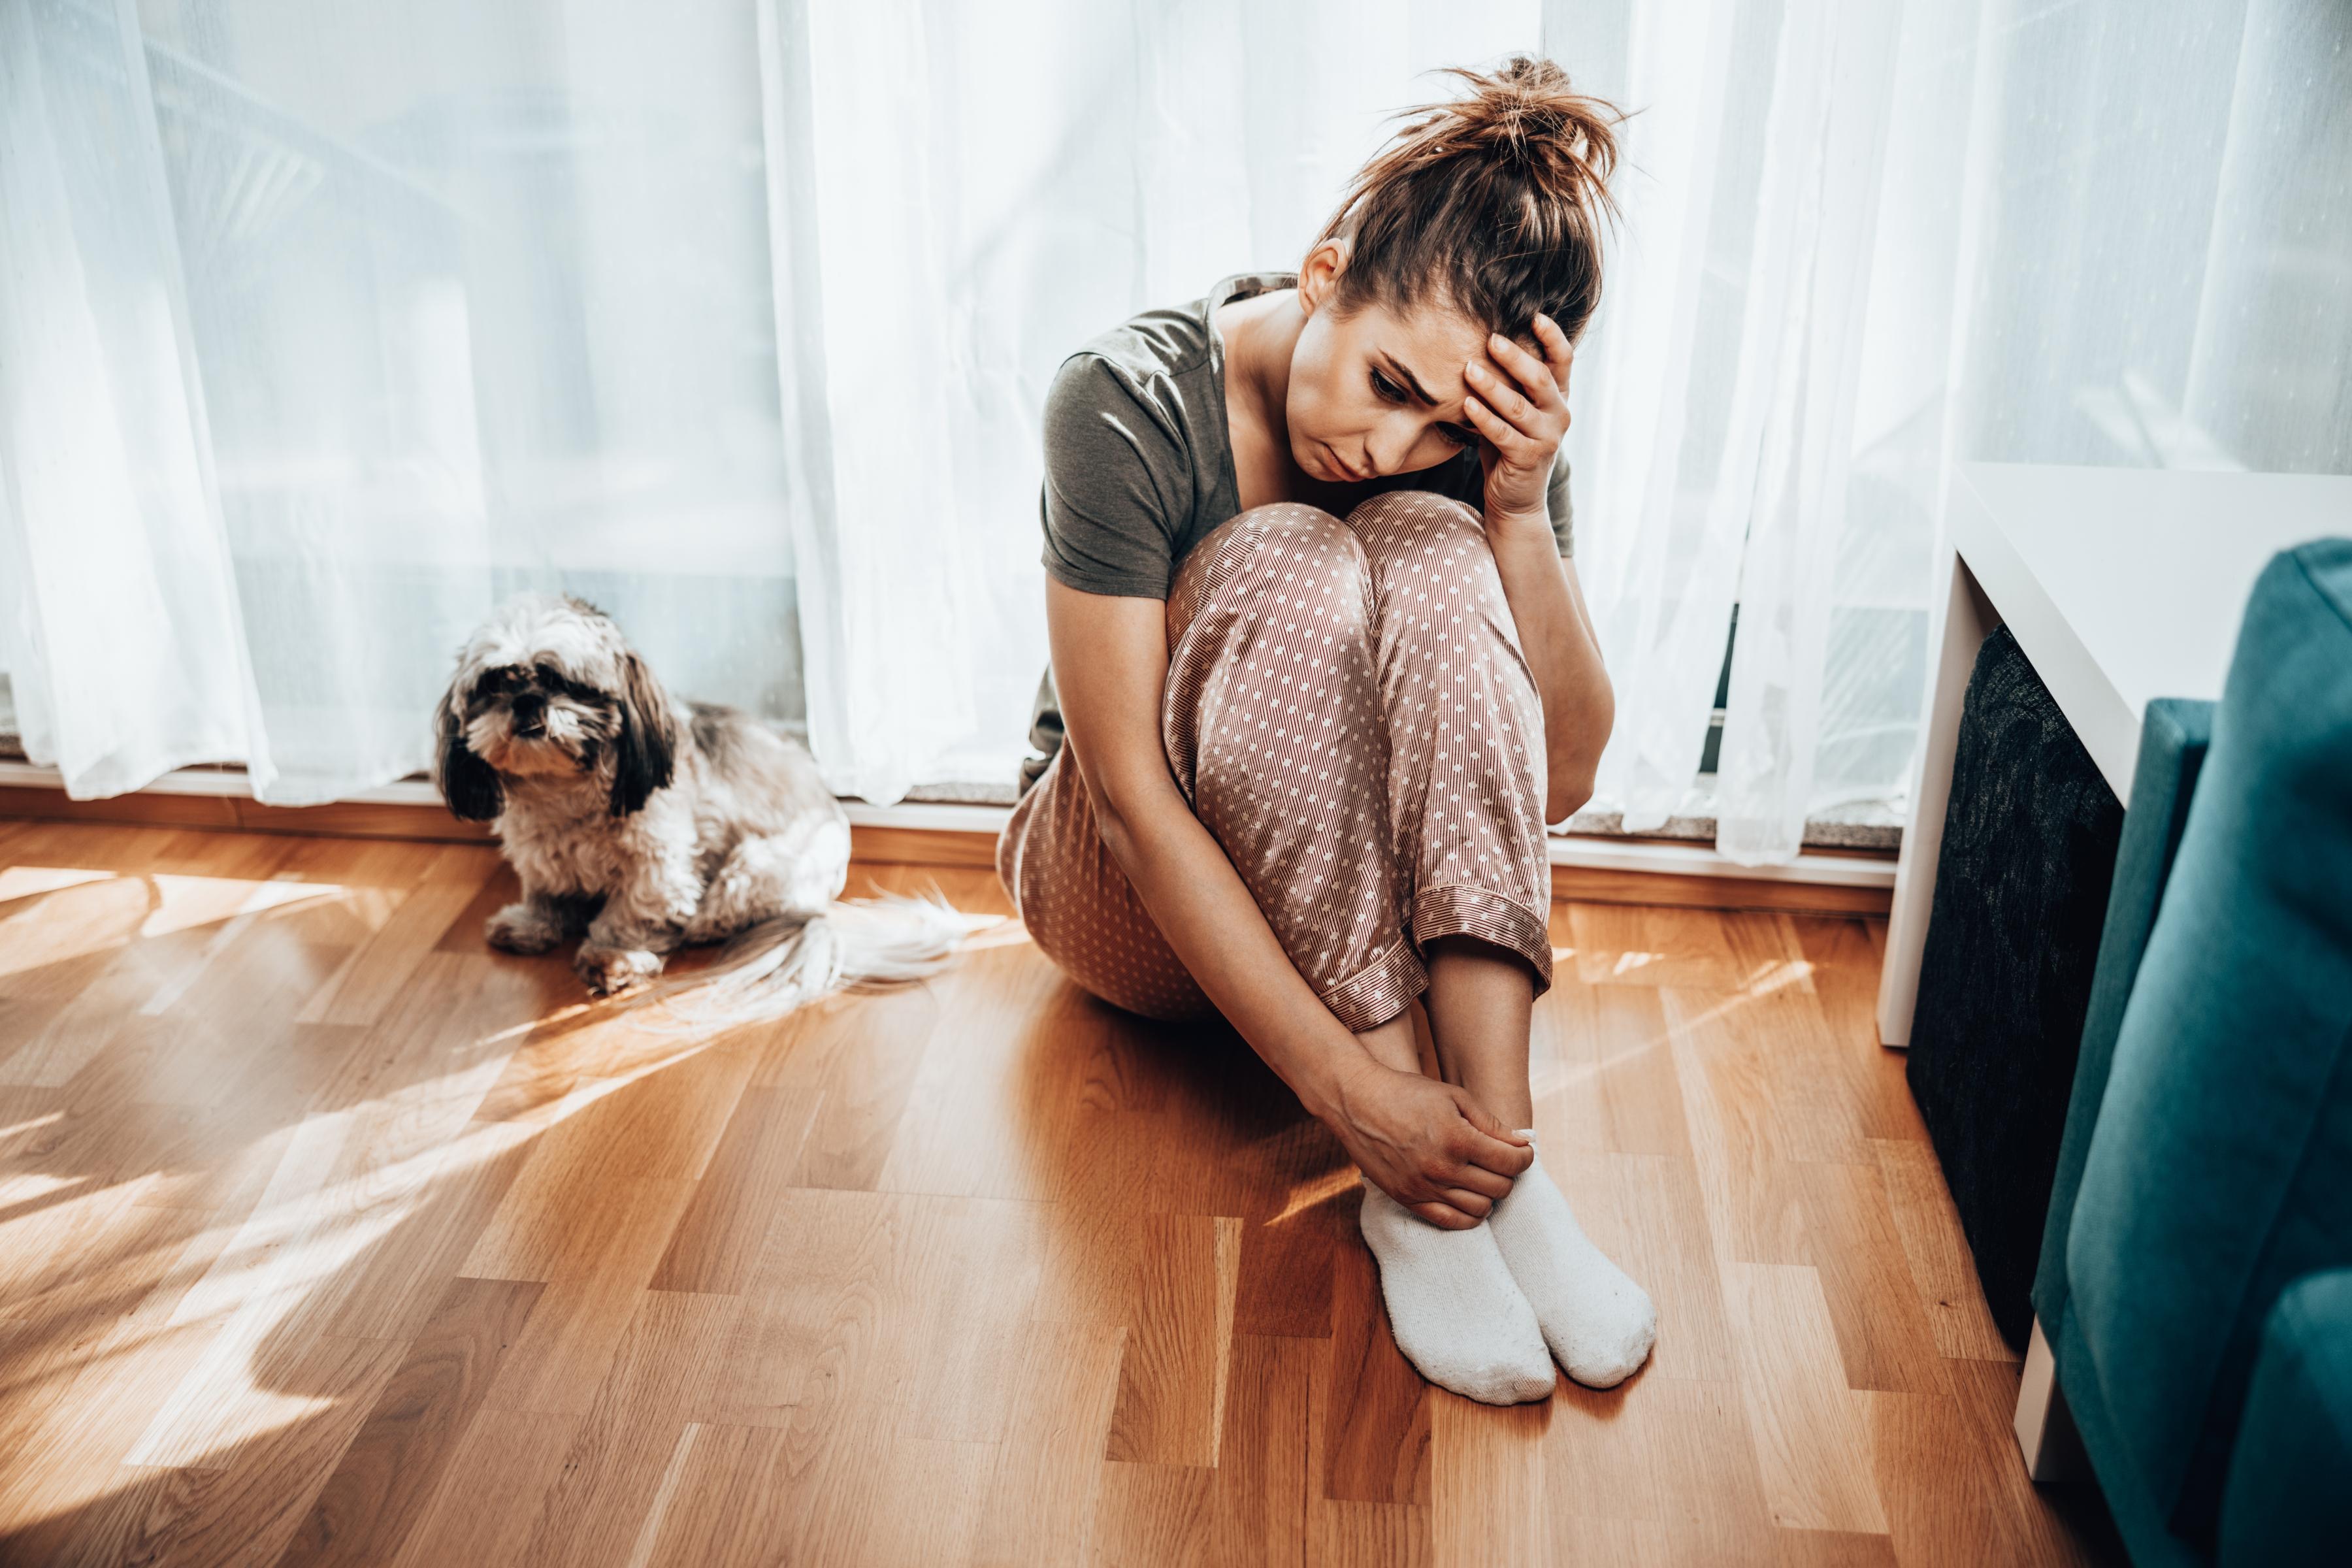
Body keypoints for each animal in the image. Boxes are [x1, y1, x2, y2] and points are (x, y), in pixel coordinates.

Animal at [435, 595, 973, 1011]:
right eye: (495, 683)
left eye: (564, 682)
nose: (527, 701)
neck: (561, 794)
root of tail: (822, 908)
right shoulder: (540, 855)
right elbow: (546, 893)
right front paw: (532, 925)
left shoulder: (658, 867)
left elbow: (630, 915)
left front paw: (613, 958)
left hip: (752, 868)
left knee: (719, 913)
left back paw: (693, 930)